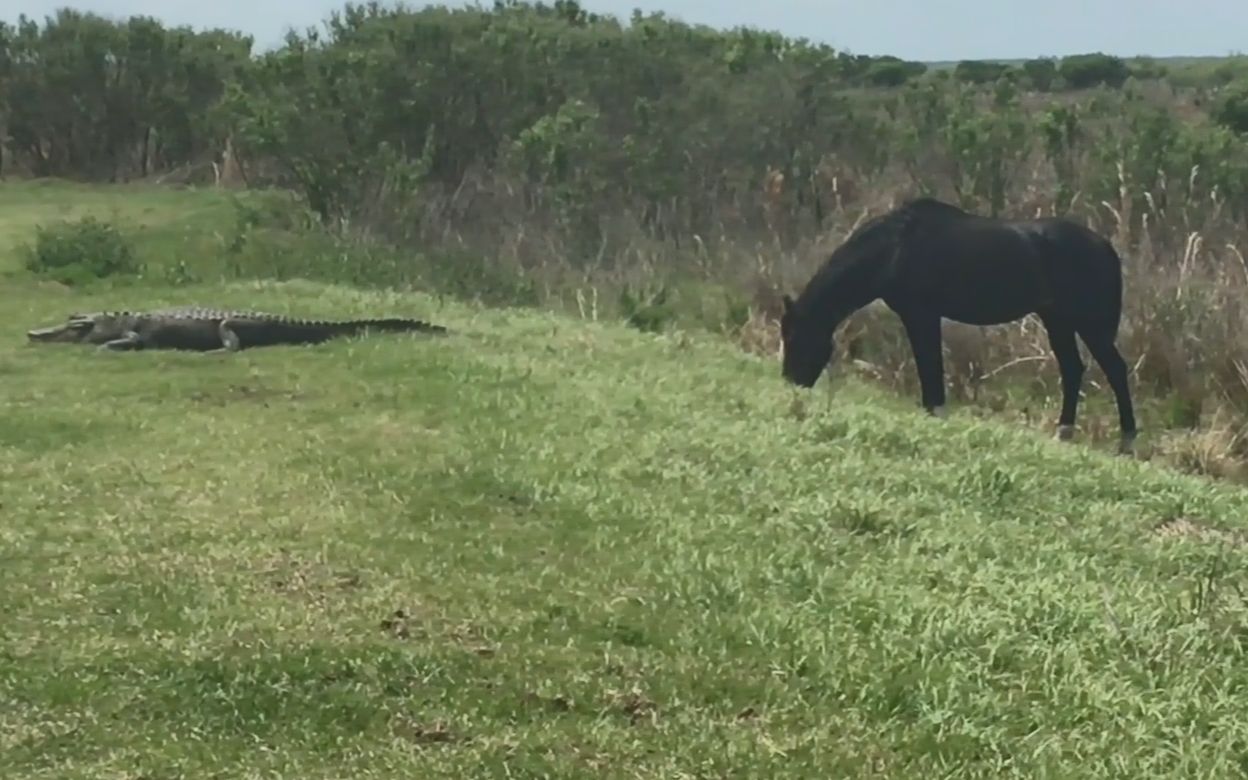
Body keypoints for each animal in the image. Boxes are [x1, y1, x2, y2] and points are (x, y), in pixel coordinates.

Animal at [783, 194, 1138, 454]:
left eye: (797, 337)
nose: (791, 385)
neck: (894, 247)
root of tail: (1106, 248)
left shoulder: (921, 315)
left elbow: (930, 368)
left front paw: (936, 415)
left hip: (1090, 325)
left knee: (1115, 370)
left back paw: (1127, 441)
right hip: (1058, 321)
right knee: (1073, 369)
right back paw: (1063, 431)